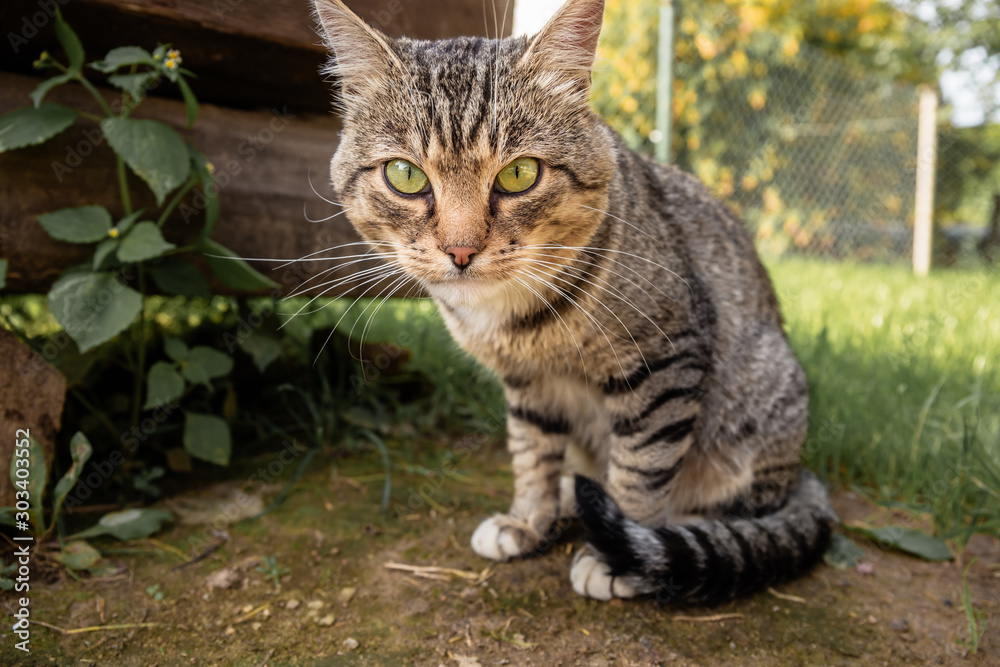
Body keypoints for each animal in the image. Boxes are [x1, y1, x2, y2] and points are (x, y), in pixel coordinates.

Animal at [312, 0, 836, 604]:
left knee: (742, 511)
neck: (516, 319)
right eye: (405, 174)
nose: (461, 250)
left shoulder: (664, 362)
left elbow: (642, 466)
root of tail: (801, 472)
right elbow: (532, 452)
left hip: (760, 405)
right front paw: (529, 519)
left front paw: (617, 555)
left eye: (520, 174)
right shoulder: (527, 385)